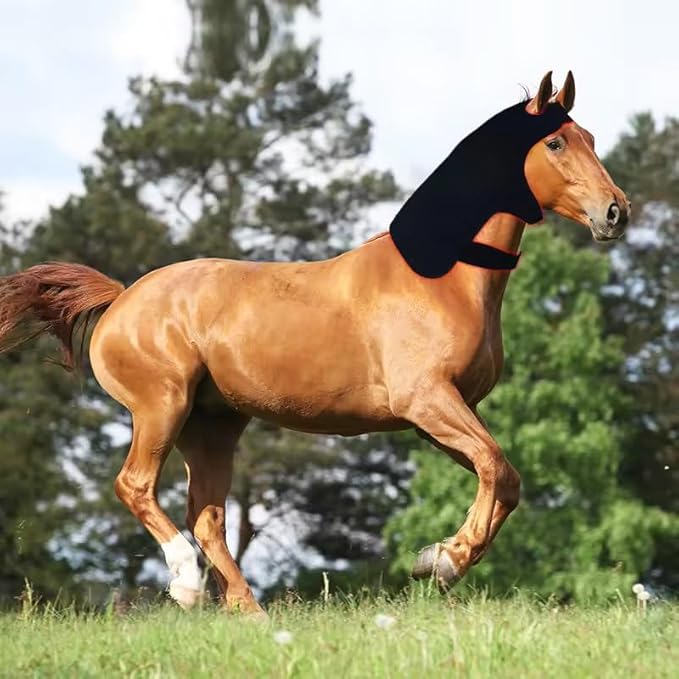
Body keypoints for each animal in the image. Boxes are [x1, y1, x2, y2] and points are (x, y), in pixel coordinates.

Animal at [0, 71, 629, 617]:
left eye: (591, 138)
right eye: (556, 142)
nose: (615, 211)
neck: (442, 278)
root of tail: (121, 298)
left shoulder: (439, 416)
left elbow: (507, 478)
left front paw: (435, 559)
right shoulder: (427, 402)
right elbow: (496, 467)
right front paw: (445, 561)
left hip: (212, 427)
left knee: (208, 517)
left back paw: (249, 612)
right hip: (162, 407)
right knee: (137, 487)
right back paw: (186, 584)